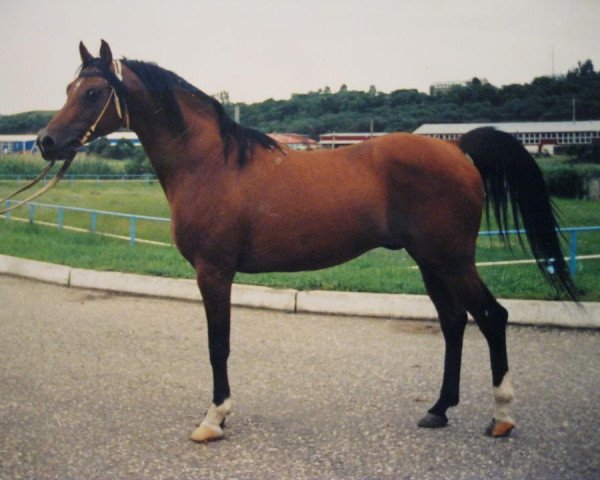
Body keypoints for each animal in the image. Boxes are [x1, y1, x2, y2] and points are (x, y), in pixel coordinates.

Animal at [34, 41, 576, 442]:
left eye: (93, 92)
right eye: (68, 87)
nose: (45, 142)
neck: (210, 163)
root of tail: (458, 148)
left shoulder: (214, 272)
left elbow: (217, 344)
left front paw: (214, 418)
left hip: (452, 259)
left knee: (492, 317)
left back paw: (501, 417)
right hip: (430, 261)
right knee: (454, 323)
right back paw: (439, 409)